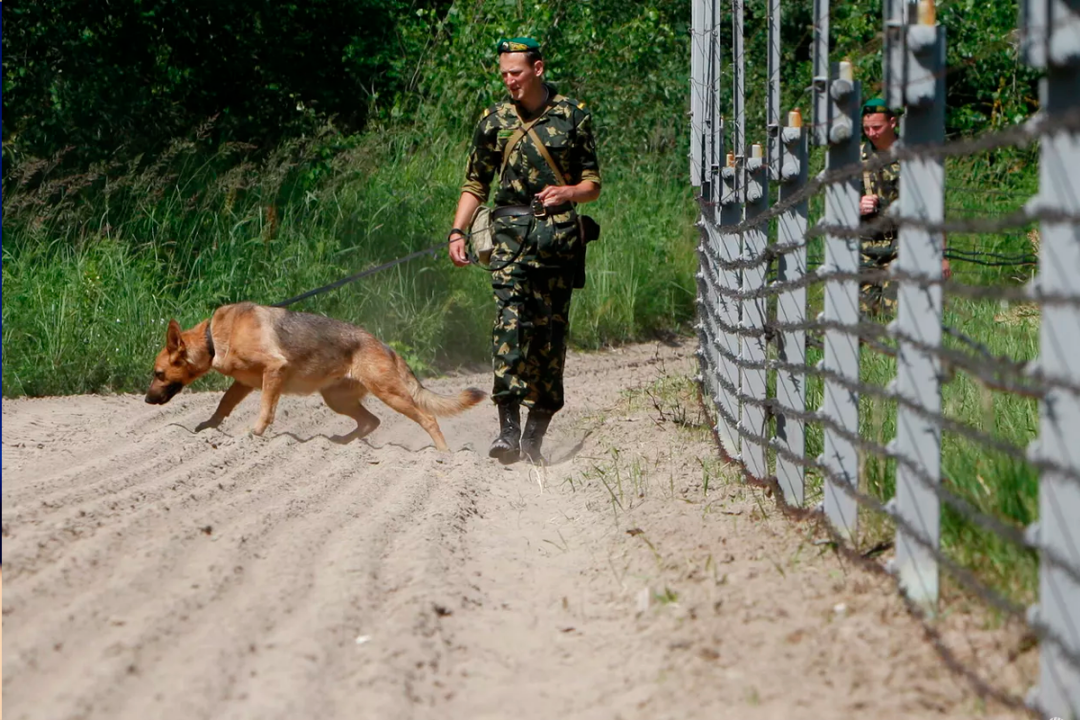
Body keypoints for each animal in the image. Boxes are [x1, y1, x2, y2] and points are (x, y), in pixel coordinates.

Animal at [146, 302, 486, 451]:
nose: (147, 400)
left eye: (158, 373)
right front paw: (207, 429)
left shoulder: (274, 371)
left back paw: (444, 456)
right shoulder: (242, 384)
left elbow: (266, 409)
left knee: (427, 419)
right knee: (370, 421)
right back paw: (340, 443)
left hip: (390, 394)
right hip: (336, 399)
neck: (213, 338)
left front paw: (255, 433)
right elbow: (222, 406)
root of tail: (385, 346)